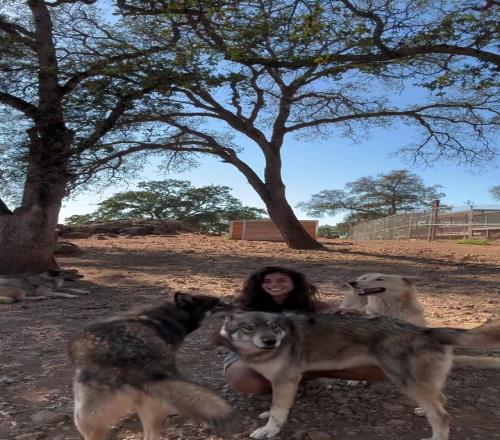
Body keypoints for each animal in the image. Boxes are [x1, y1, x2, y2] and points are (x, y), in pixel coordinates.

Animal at [219, 312, 500, 438]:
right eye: (248, 327)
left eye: (274, 326)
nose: (270, 341)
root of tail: (427, 330)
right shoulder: (281, 382)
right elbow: (276, 407)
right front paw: (267, 415)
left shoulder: (286, 380)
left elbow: (279, 412)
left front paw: (268, 430)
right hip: (418, 384)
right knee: (440, 400)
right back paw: (422, 411)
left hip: (407, 382)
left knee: (442, 416)